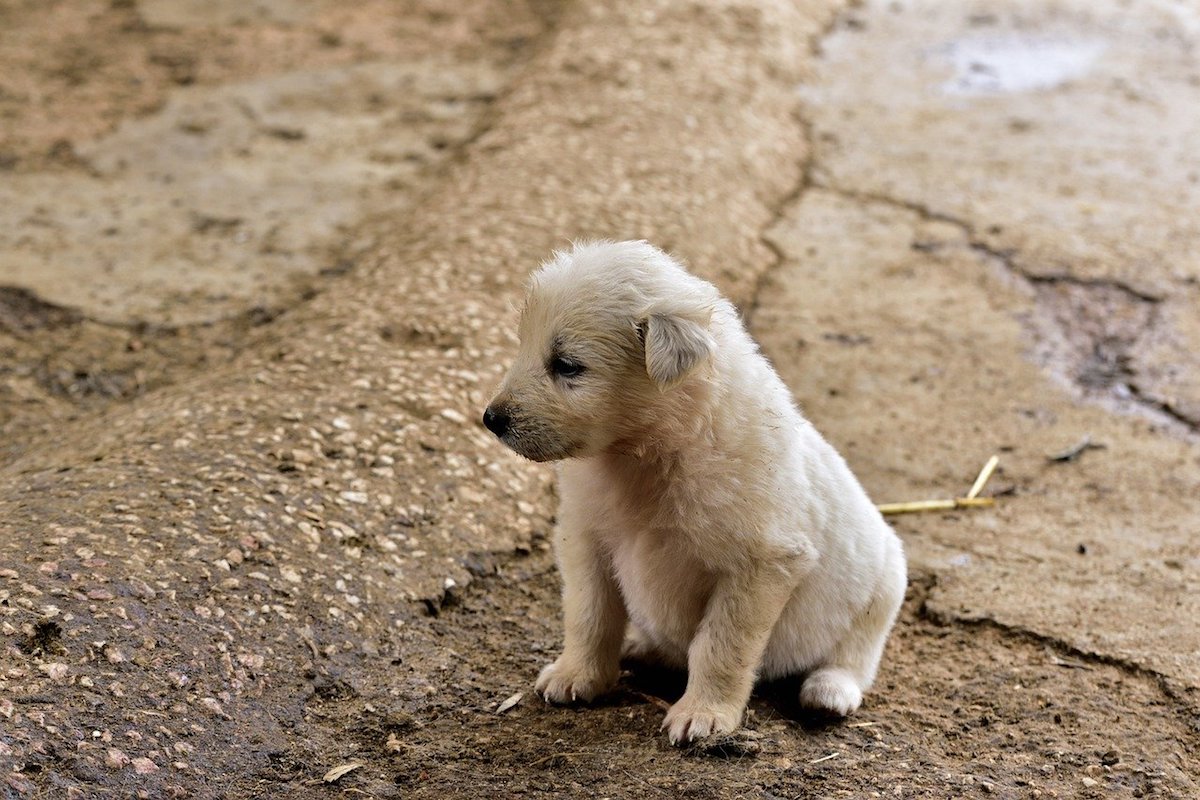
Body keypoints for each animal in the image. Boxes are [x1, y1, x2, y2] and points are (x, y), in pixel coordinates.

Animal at [482, 242, 902, 743]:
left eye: (567, 365)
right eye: (523, 345)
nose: (491, 419)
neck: (649, 451)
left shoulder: (762, 564)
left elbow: (720, 644)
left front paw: (704, 714)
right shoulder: (585, 536)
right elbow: (589, 613)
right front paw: (576, 676)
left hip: (884, 586)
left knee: (855, 656)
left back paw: (829, 692)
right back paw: (642, 648)